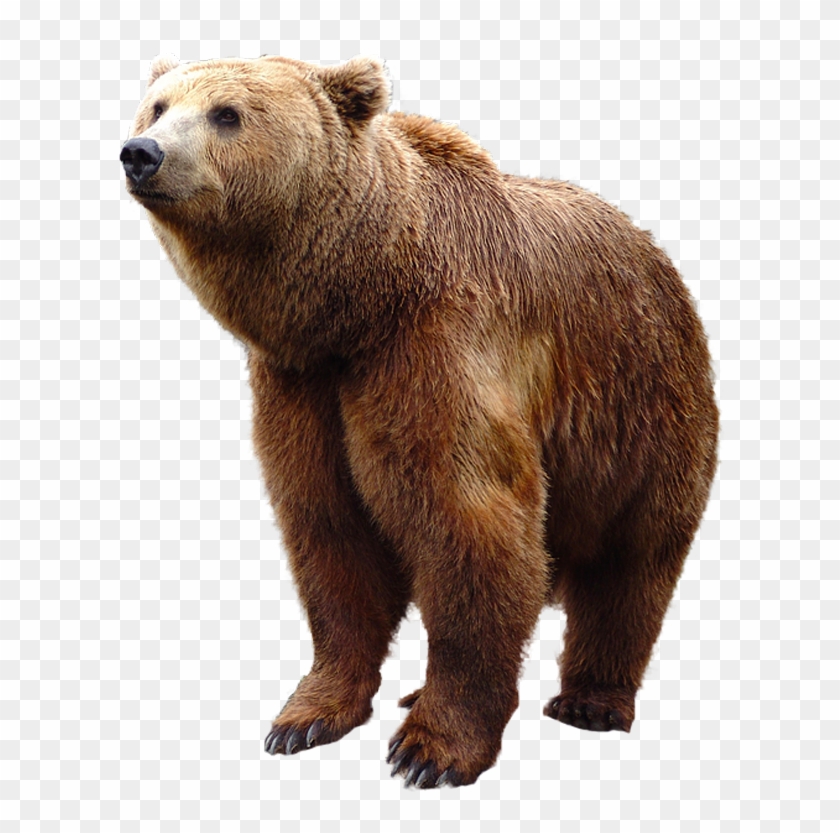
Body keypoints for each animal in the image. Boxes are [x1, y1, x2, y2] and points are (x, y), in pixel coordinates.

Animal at [121, 55, 718, 789]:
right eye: (158, 105)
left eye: (226, 113)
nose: (142, 153)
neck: (357, 299)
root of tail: (655, 251)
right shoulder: (303, 386)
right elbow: (329, 530)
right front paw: (305, 717)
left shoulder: (435, 349)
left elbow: (470, 522)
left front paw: (428, 750)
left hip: (640, 406)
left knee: (630, 560)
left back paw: (590, 699)